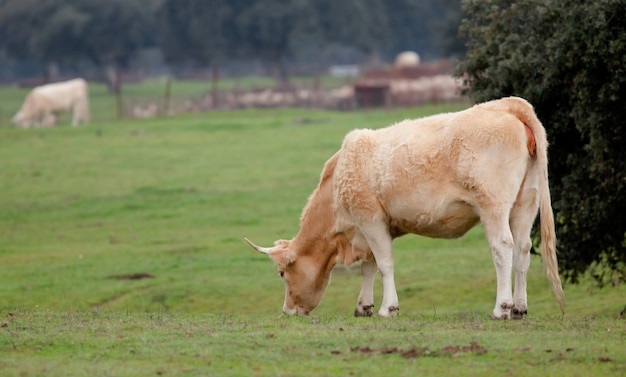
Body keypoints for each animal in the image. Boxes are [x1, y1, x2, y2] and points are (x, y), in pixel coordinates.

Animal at [245, 96, 564, 318]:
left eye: (282, 274)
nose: (288, 311)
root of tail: (508, 105)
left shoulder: (370, 218)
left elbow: (384, 263)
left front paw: (388, 308)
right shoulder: (374, 228)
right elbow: (370, 266)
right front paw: (364, 306)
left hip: (493, 206)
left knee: (502, 248)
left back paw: (502, 307)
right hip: (526, 204)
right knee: (523, 250)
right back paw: (520, 308)